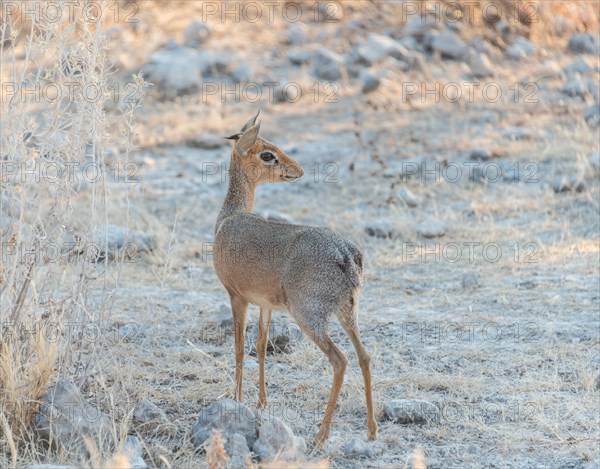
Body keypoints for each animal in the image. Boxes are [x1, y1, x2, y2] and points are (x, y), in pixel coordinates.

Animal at [213, 110, 378, 446]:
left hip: (308, 316)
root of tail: (346, 253)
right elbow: (261, 345)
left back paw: (320, 436)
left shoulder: (236, 295)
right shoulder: (265, 304)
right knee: (365, 356)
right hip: (348, 311)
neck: (228, 217)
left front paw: (237, 399)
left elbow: (238, 346)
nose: (298, 171)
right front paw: (261, 402)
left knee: (340, 360)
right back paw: (371, 430)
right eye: (267, 154)